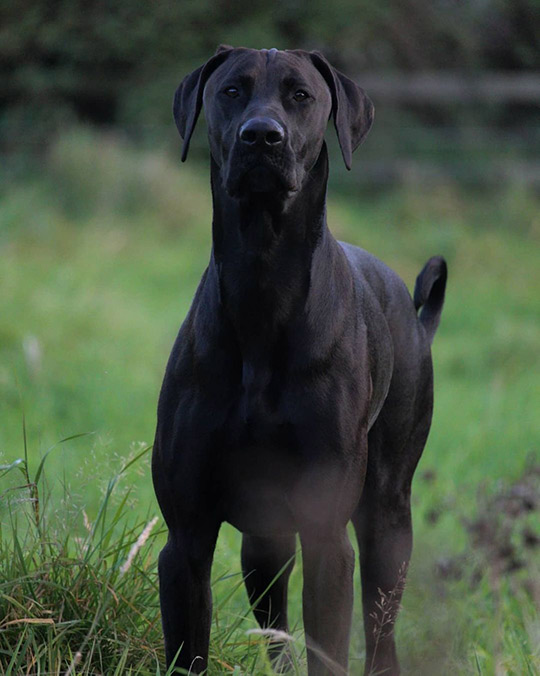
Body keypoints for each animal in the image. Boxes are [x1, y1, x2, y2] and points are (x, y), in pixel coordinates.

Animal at [153, 45, 448, 672]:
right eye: (232, 91)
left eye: (301, 95)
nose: (262, 135)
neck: (264, 280)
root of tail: (416, 319)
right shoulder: (186, 540)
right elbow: (189, 645)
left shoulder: (326, 537)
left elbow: (329, 647)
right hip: (265, 542)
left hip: (388, 521)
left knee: (381, 631)